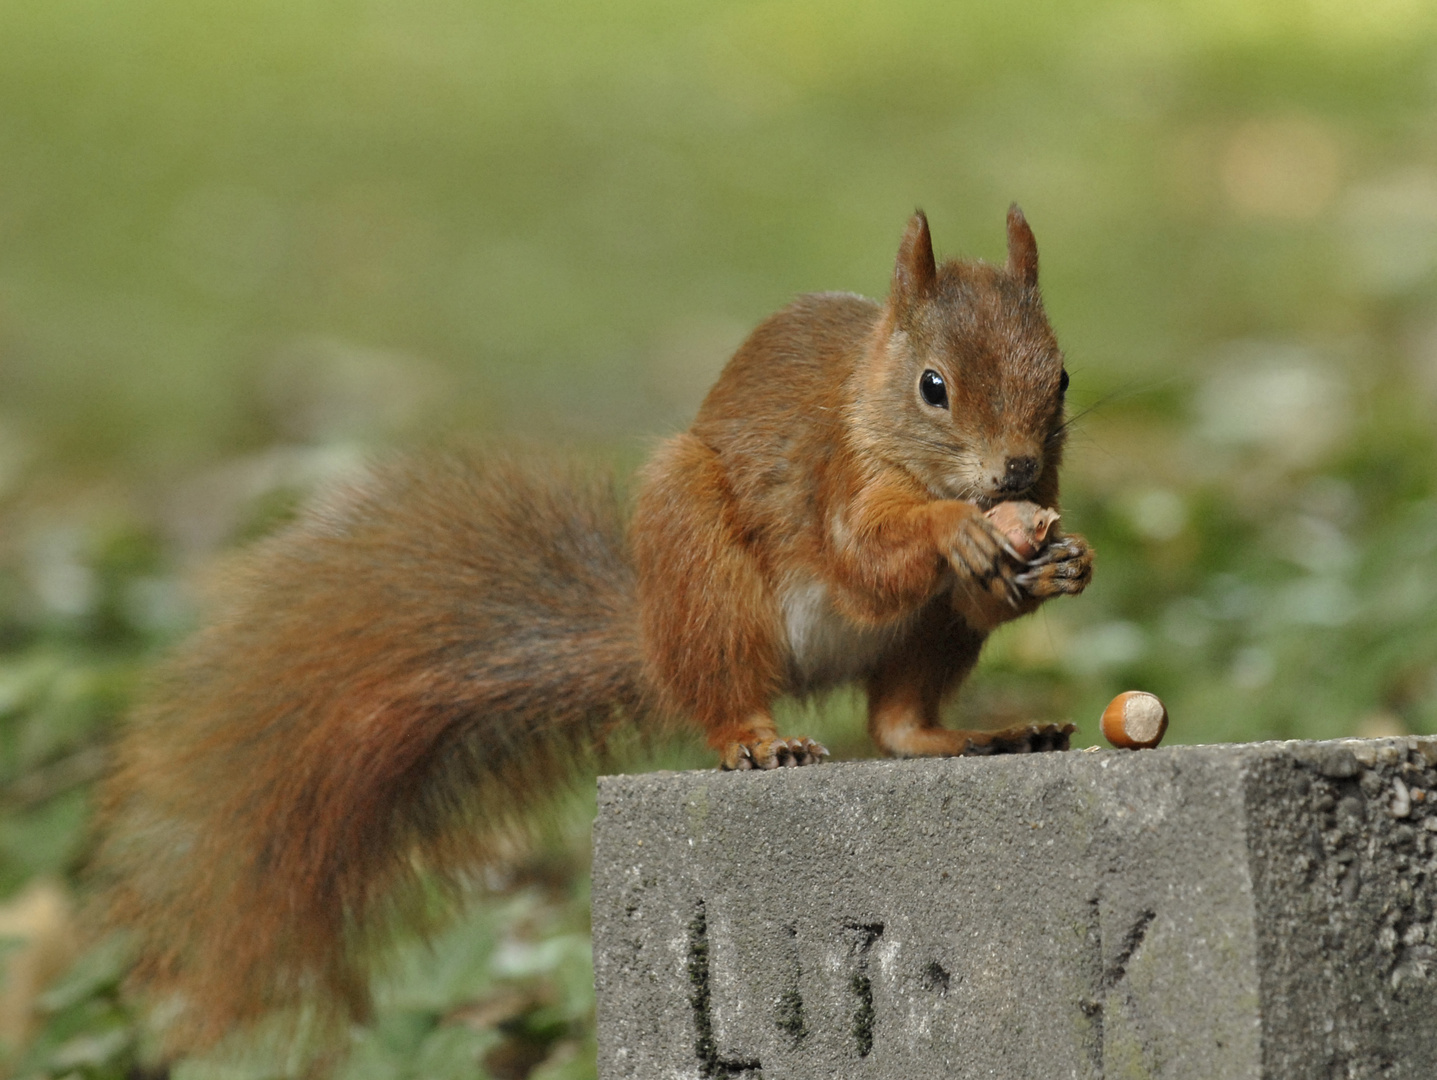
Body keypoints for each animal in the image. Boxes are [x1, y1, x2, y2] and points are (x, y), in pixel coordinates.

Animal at [95, 206, 1092, 1051]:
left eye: (1062, 376)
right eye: (933, 387)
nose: (1017, 471)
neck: (869, 403)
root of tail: (654, 640)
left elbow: (975, 595)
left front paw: (1060, 561)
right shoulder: (835, 481)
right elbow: (864, 562)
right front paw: (954, 533)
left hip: (917, 651)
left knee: (895, 722)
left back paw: (985, 736)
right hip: (699, 564)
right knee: (731, 695)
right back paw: (757, 742)